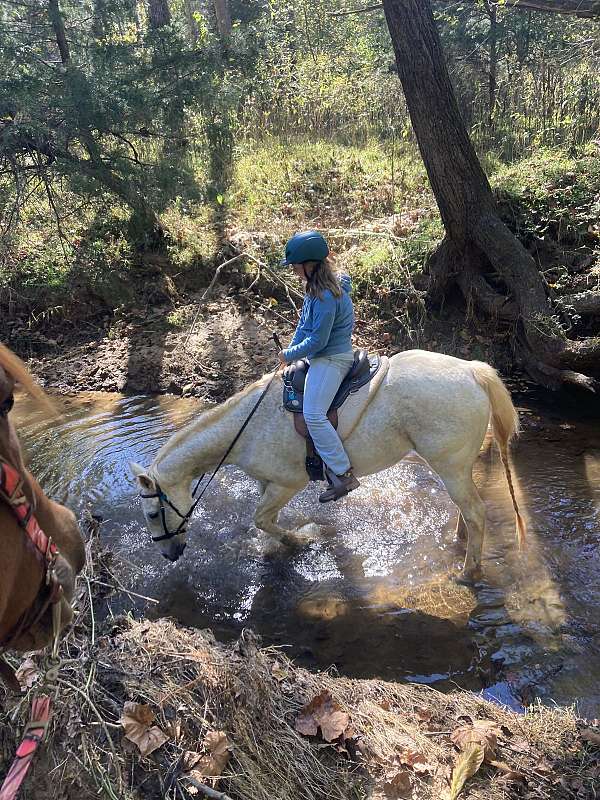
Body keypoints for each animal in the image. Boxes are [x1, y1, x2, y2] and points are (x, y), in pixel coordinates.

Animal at [130, 350, 524, 580]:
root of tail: (472, 371)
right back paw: (460, 542)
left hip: (449, 466)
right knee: (469, 510)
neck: (248, 427)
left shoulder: (287, 484)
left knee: (475, 511)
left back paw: (467, 571)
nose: (168, 554)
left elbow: (262, 520)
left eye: (151, 513)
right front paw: (276, 547)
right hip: (455, 467)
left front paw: (300, 539)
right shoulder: (267, 483)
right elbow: (263, 522)